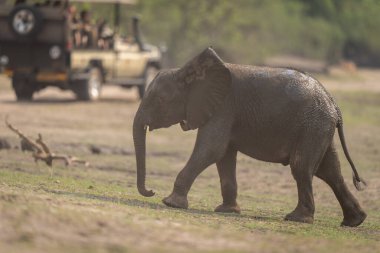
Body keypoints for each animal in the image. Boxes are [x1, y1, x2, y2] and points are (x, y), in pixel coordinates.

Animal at [132, 47, 366, 227]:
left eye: (159, 100)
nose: (151, 191)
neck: (189, 74)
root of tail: (334, 105)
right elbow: (223, 156)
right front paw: (227, 210)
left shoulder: (224, 107)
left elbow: (211, 150)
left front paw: (170, 203)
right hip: (319, 128)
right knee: (330, 171)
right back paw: (354, 221)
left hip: (312, 125)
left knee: (302, 167)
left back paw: (297, 219)